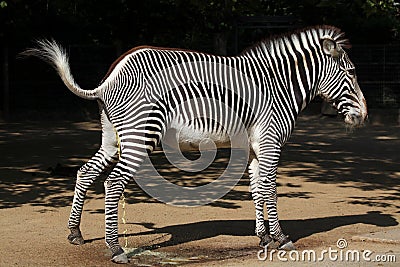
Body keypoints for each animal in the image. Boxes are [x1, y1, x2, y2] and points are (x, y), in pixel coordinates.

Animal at [24, 25, 368, 264]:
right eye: (351, 73)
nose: (363, 116)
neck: (277, 85)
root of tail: (110, 77)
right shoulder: (270, 141)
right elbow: (270, 188)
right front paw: (281, 238)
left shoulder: (256, 146)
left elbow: (257, 189)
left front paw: (263, 238)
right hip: (140, 135)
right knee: (112, 183)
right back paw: (115, 248)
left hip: (112, 137)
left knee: (85, 172)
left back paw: (75, 233)